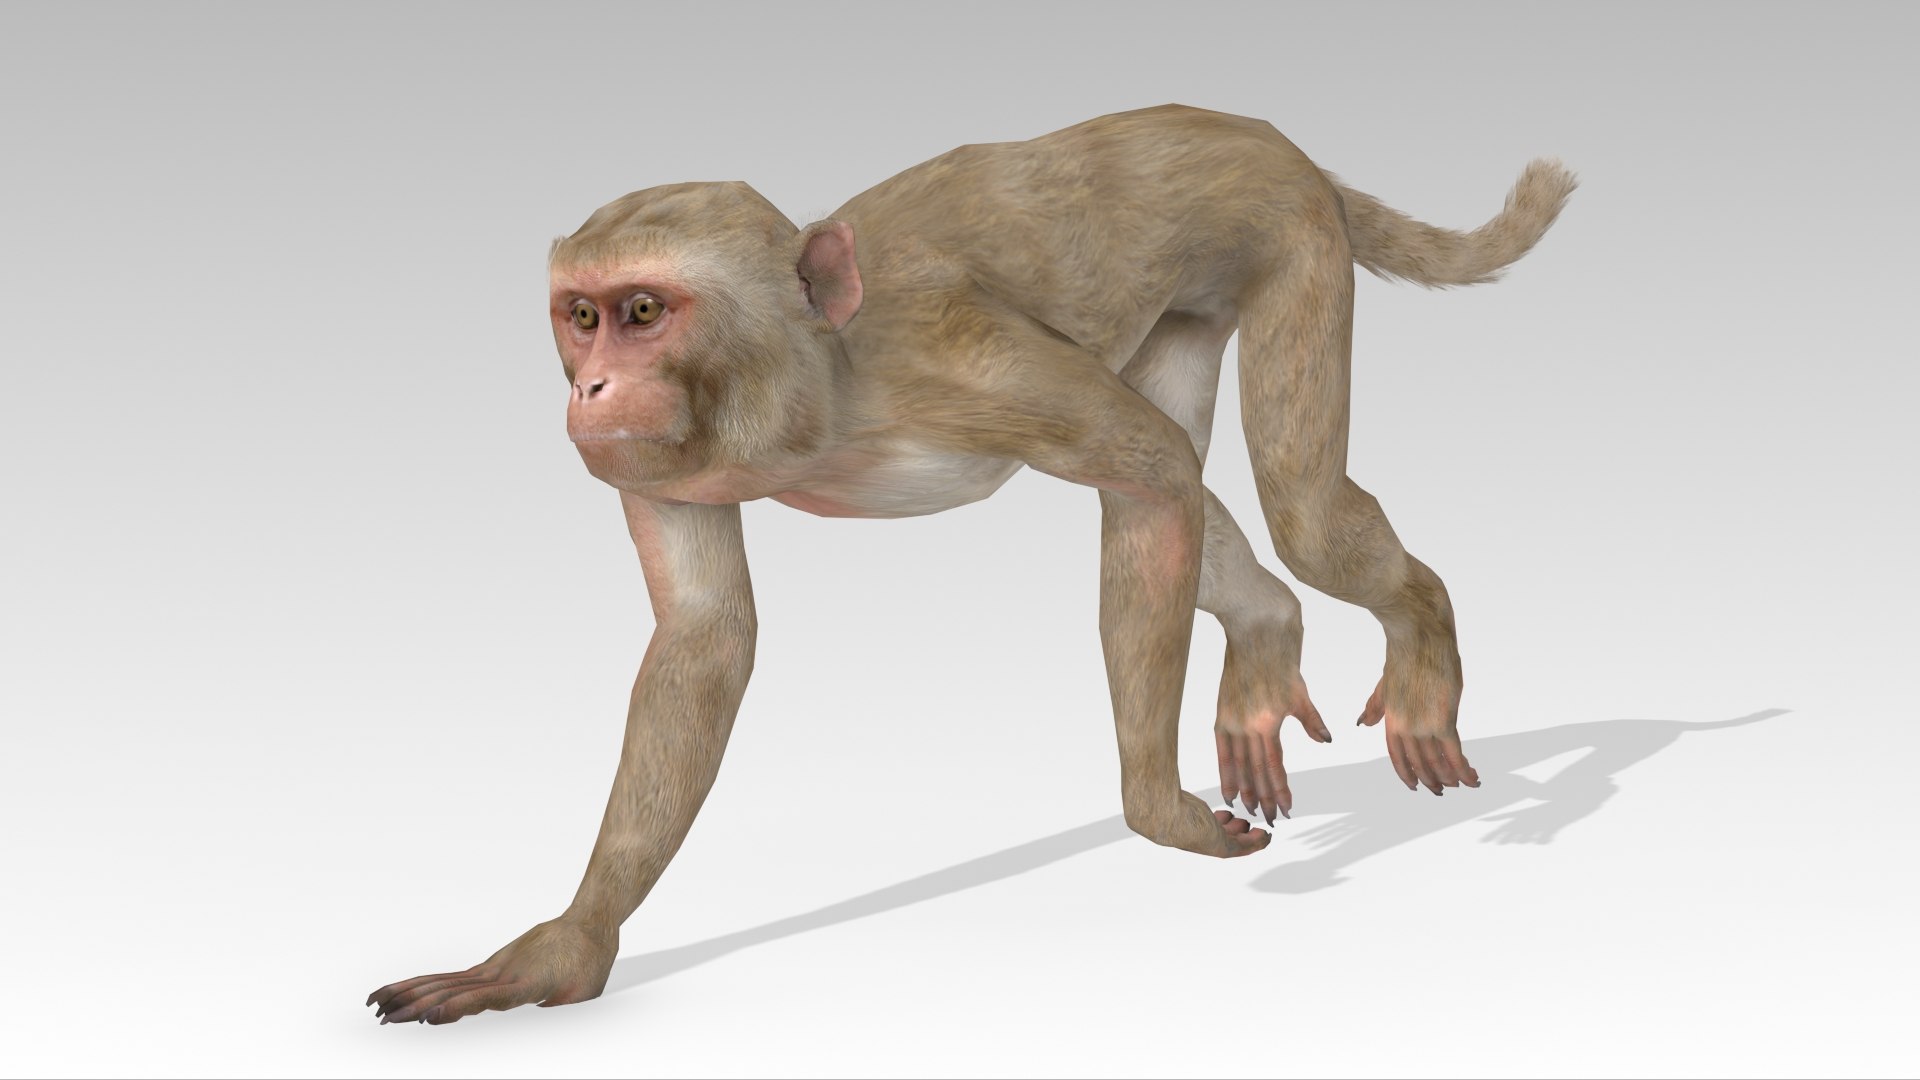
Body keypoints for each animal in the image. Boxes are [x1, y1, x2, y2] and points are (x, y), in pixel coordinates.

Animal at [368, 104, 1575, 1025]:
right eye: (582, 317)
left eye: (644, 312)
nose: (592, 390)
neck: (822, 379)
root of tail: (1266, 135)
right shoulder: (659, 465)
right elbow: (706, 637)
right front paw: (566, 949)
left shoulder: (964, 364)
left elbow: (1149, 474)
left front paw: (1156, 811)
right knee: (1201, 487)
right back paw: (1269, 626)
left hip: (1291, 239)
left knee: (1288, 503)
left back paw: (1418, 629)